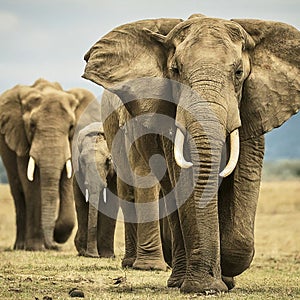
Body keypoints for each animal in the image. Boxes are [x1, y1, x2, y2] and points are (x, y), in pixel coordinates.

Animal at [0, 78, 95, 251]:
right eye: (31, 125)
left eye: (71, 127)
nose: (53, 243)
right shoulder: (22, 138)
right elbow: (30, 184)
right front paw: (35, 247)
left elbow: (68, 179)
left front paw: (56, 235)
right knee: (18, 193)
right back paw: (21, 246)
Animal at [72, 122, 118, 258]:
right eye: (81, 160)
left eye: (109, 160)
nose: (93, 255)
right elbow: (81, 202)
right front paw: (84, 252)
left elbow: (111, 203)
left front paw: (107, 255)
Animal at [82, 15, 300, 294]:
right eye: (175, 71)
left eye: (239, 73)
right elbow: (183, 179)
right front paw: (207, 285)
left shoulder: (252, 108)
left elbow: (244, 176)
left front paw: (224, 277)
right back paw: (178, 280)